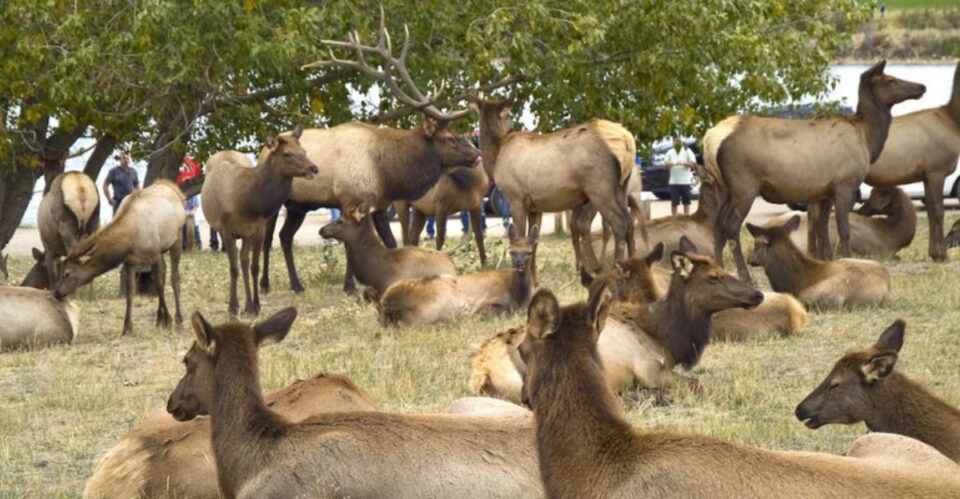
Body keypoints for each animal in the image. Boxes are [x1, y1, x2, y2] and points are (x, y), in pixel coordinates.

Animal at [54, 180, 185, 337]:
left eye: (67, 273)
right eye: (59, 272)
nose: (56, 292)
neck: (129, 240)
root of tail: (174, 188)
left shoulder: (155, 254)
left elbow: (159, 285)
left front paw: (168, 320)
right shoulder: (130, 262)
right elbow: (130, 291)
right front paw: (127, 327)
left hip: (176, 239)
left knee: (174, 277)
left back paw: (178, 319)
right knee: (165, 274)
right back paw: (159, 319)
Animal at [201, 126, 318, 317]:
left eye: (304, 151)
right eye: (287, 154)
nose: (314, 168)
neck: (247, 202)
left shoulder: (256, 230)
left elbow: (254, 267)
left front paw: (254, 306)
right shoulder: (227, 230)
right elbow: (233, 269)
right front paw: (233, 307)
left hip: (246, 235)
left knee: (244, 262)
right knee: (237, 264)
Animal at [378, 224, 538, 326]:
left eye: (529, 252)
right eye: (512, 251)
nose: (518, 264)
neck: (518, 297)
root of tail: (387, 309)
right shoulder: (485, 300)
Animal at [469, 95, 642, 280]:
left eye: (509, 116)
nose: (512, 126)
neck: (495, 160)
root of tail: (628, 141)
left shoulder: (516, 198)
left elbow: (520, 238)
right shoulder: (535, 206)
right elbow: (533, 242)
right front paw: (534, 280)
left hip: (599, 188)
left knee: (618, 222)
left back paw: (616, 270)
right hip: (621, 187)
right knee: (629, 221)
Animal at [865, 61, 960, 262]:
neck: (954, 122)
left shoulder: (925, 175)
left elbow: (931, 209)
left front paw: (934, 253)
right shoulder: (936, 170)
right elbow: (938, 210)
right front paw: (942, 254)